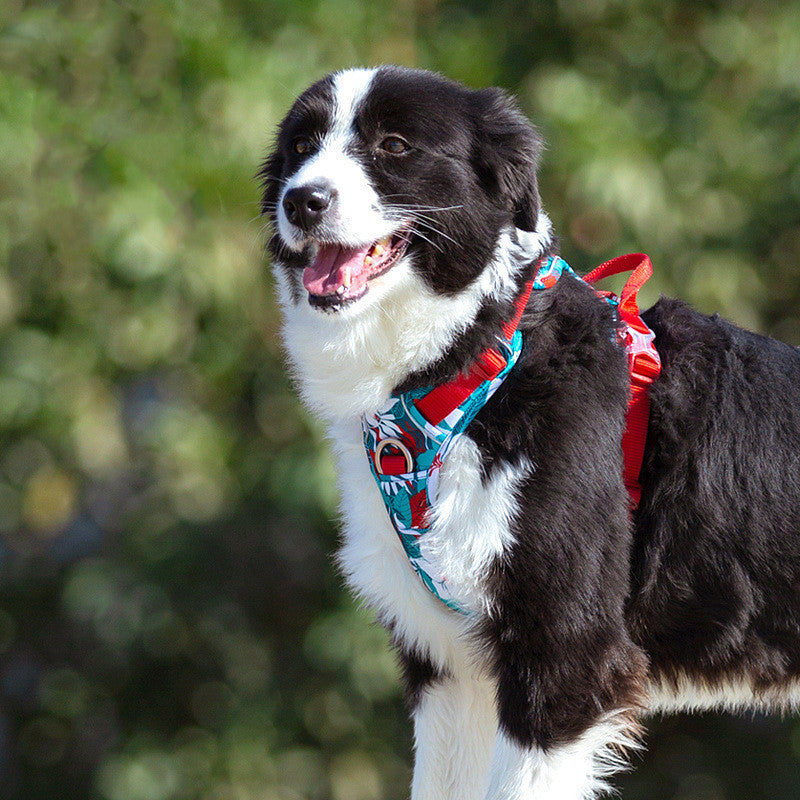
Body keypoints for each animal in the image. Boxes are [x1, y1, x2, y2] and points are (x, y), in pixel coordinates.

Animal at [260, 65, 800, 796]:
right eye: (301, 146)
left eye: (394, 145)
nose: (303, 200)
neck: (478, 365)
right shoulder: (450, 667)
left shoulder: (565, 655)